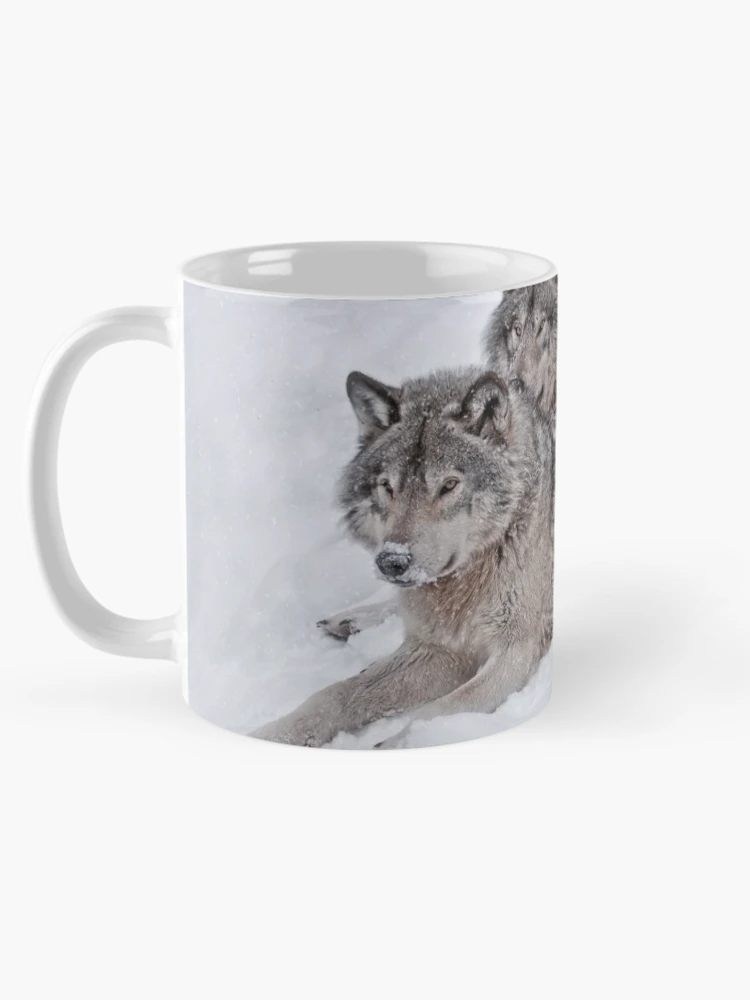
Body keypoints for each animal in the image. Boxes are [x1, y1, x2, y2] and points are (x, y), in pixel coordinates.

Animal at [252, 361, 554, 748]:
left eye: (449, 485)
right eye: (387, 486)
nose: (391, 561)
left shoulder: (516, 653)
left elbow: (436, 714)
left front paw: (393, 745)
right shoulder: (439, 650)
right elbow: (336, 694)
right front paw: (269, 734)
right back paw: (350, 620)